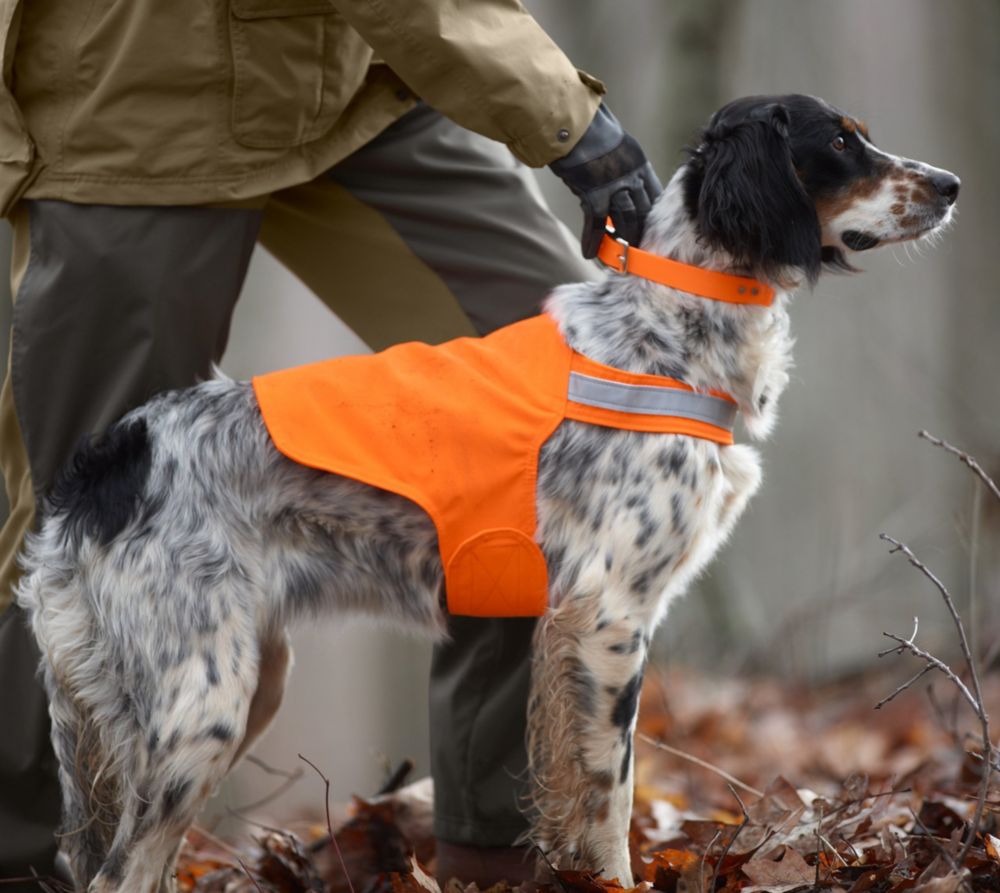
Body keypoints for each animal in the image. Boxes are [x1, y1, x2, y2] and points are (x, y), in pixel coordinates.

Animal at [13, 94, 952, 888]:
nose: (952, 185)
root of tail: (107, 457)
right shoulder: (608, 614)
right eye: (840, 142)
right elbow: (611, 792)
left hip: (244, 683)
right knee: (118, 871)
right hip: (200, 707)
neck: (668, 331)